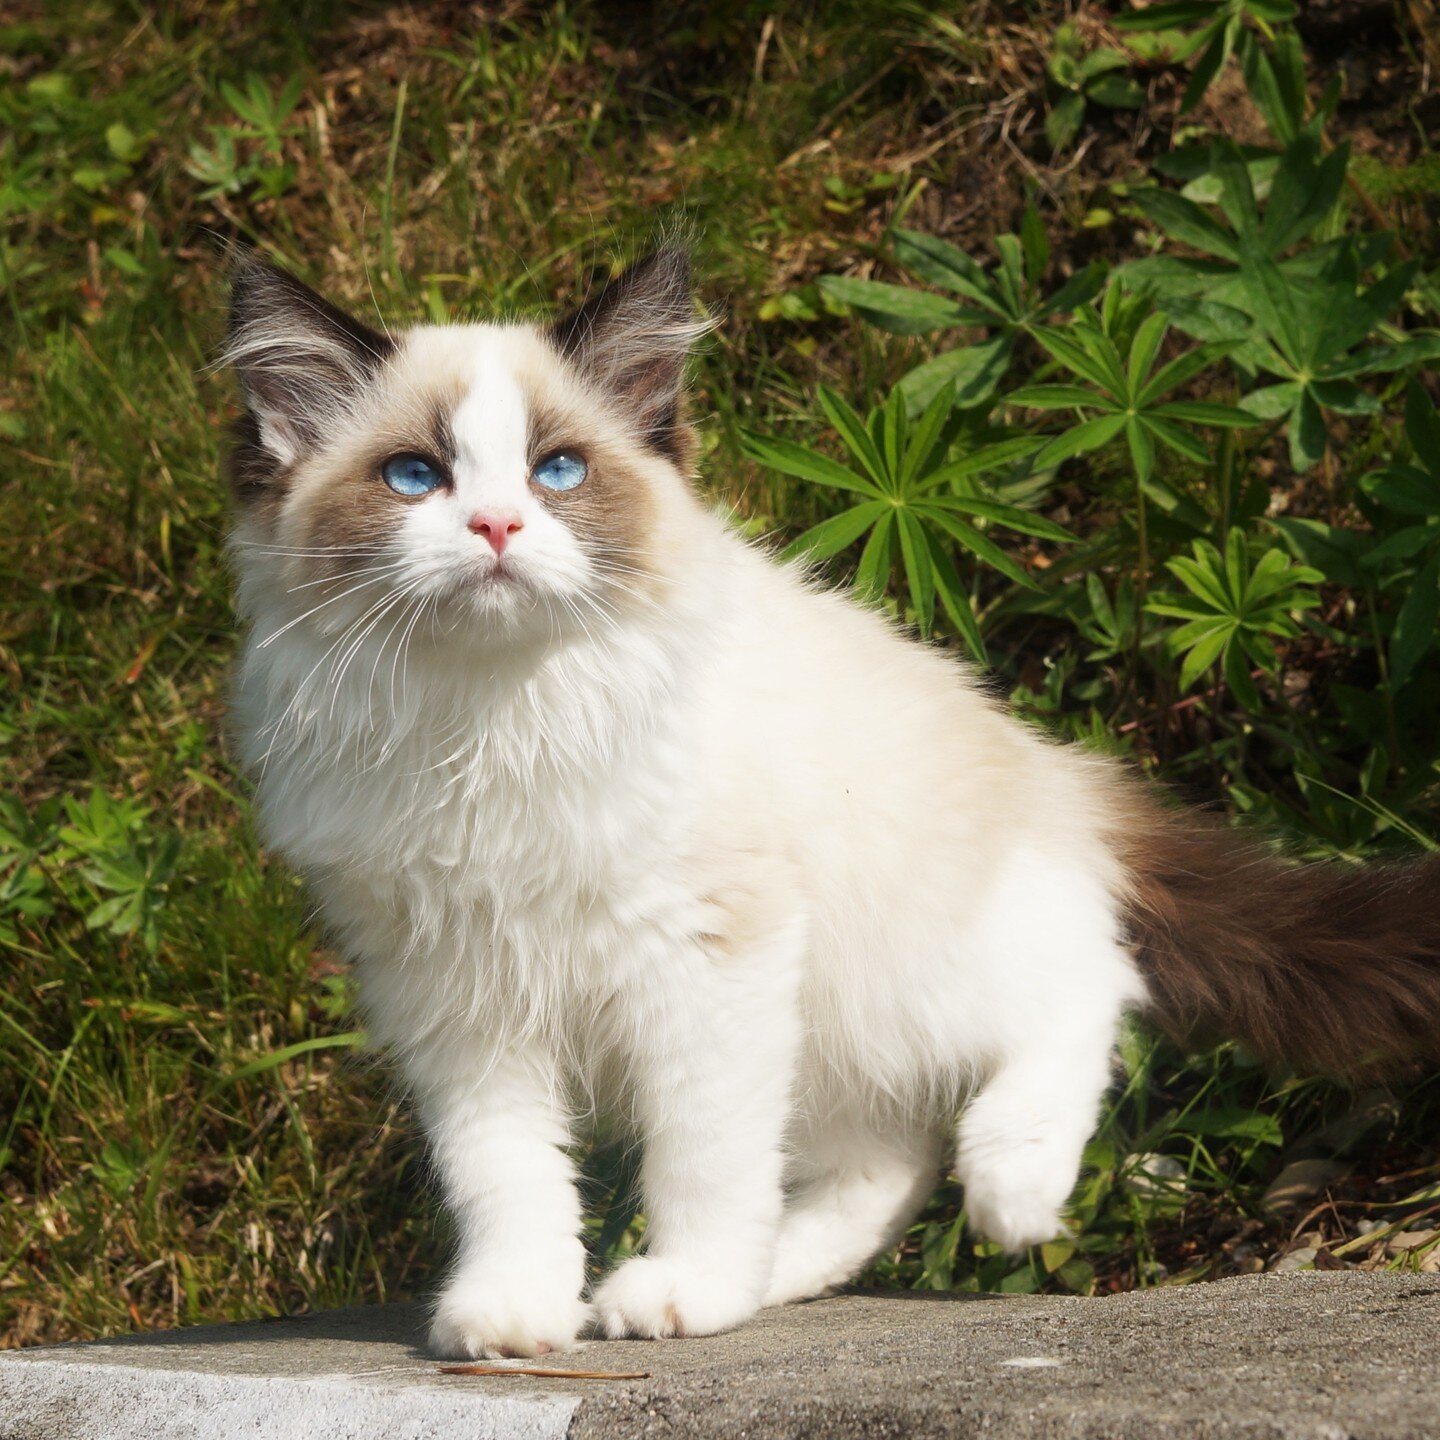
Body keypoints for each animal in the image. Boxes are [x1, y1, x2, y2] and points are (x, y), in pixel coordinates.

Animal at [221, 247, 1440, 1359]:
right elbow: (506, 1175)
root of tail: (1059, 774)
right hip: (831, 1034)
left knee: (1087, 989)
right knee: (887, 1164)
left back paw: (1010, 1188)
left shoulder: (703, 954)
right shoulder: (456, 994)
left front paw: (687, 1289)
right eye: (415, 478)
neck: (491, 719)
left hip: (902, 960)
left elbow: (701, 1154)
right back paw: (777, 1276)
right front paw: (518, 1314)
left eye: (556, 472)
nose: (496, 531)